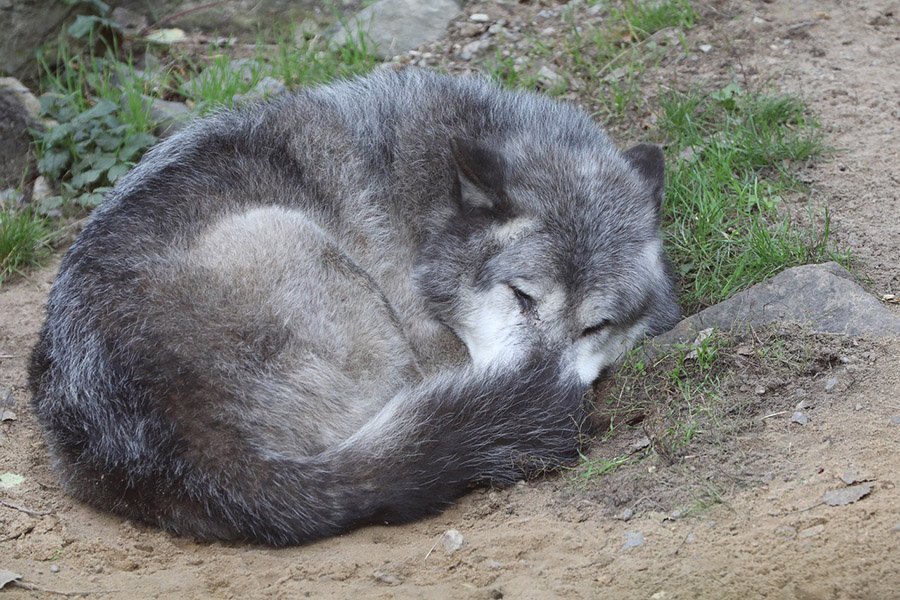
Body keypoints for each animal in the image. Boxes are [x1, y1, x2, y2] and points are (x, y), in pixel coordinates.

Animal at [28, 68, 680, 548]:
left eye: (596, 326)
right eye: (522, 296)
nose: (540, 380)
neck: (425, 201)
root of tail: (179, 445)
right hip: (294, 239)